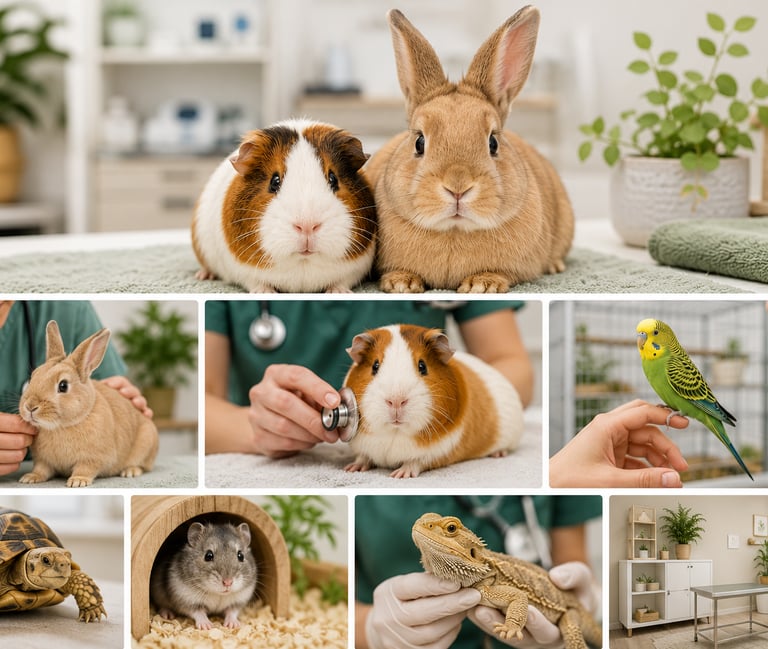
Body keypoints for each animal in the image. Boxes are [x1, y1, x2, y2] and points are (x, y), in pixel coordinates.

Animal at [364, 6, 574, 293]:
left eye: (493, 142)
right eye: (419, 142)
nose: (458, 187)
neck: (454, 230)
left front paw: (483, 285)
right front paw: (401, 283)